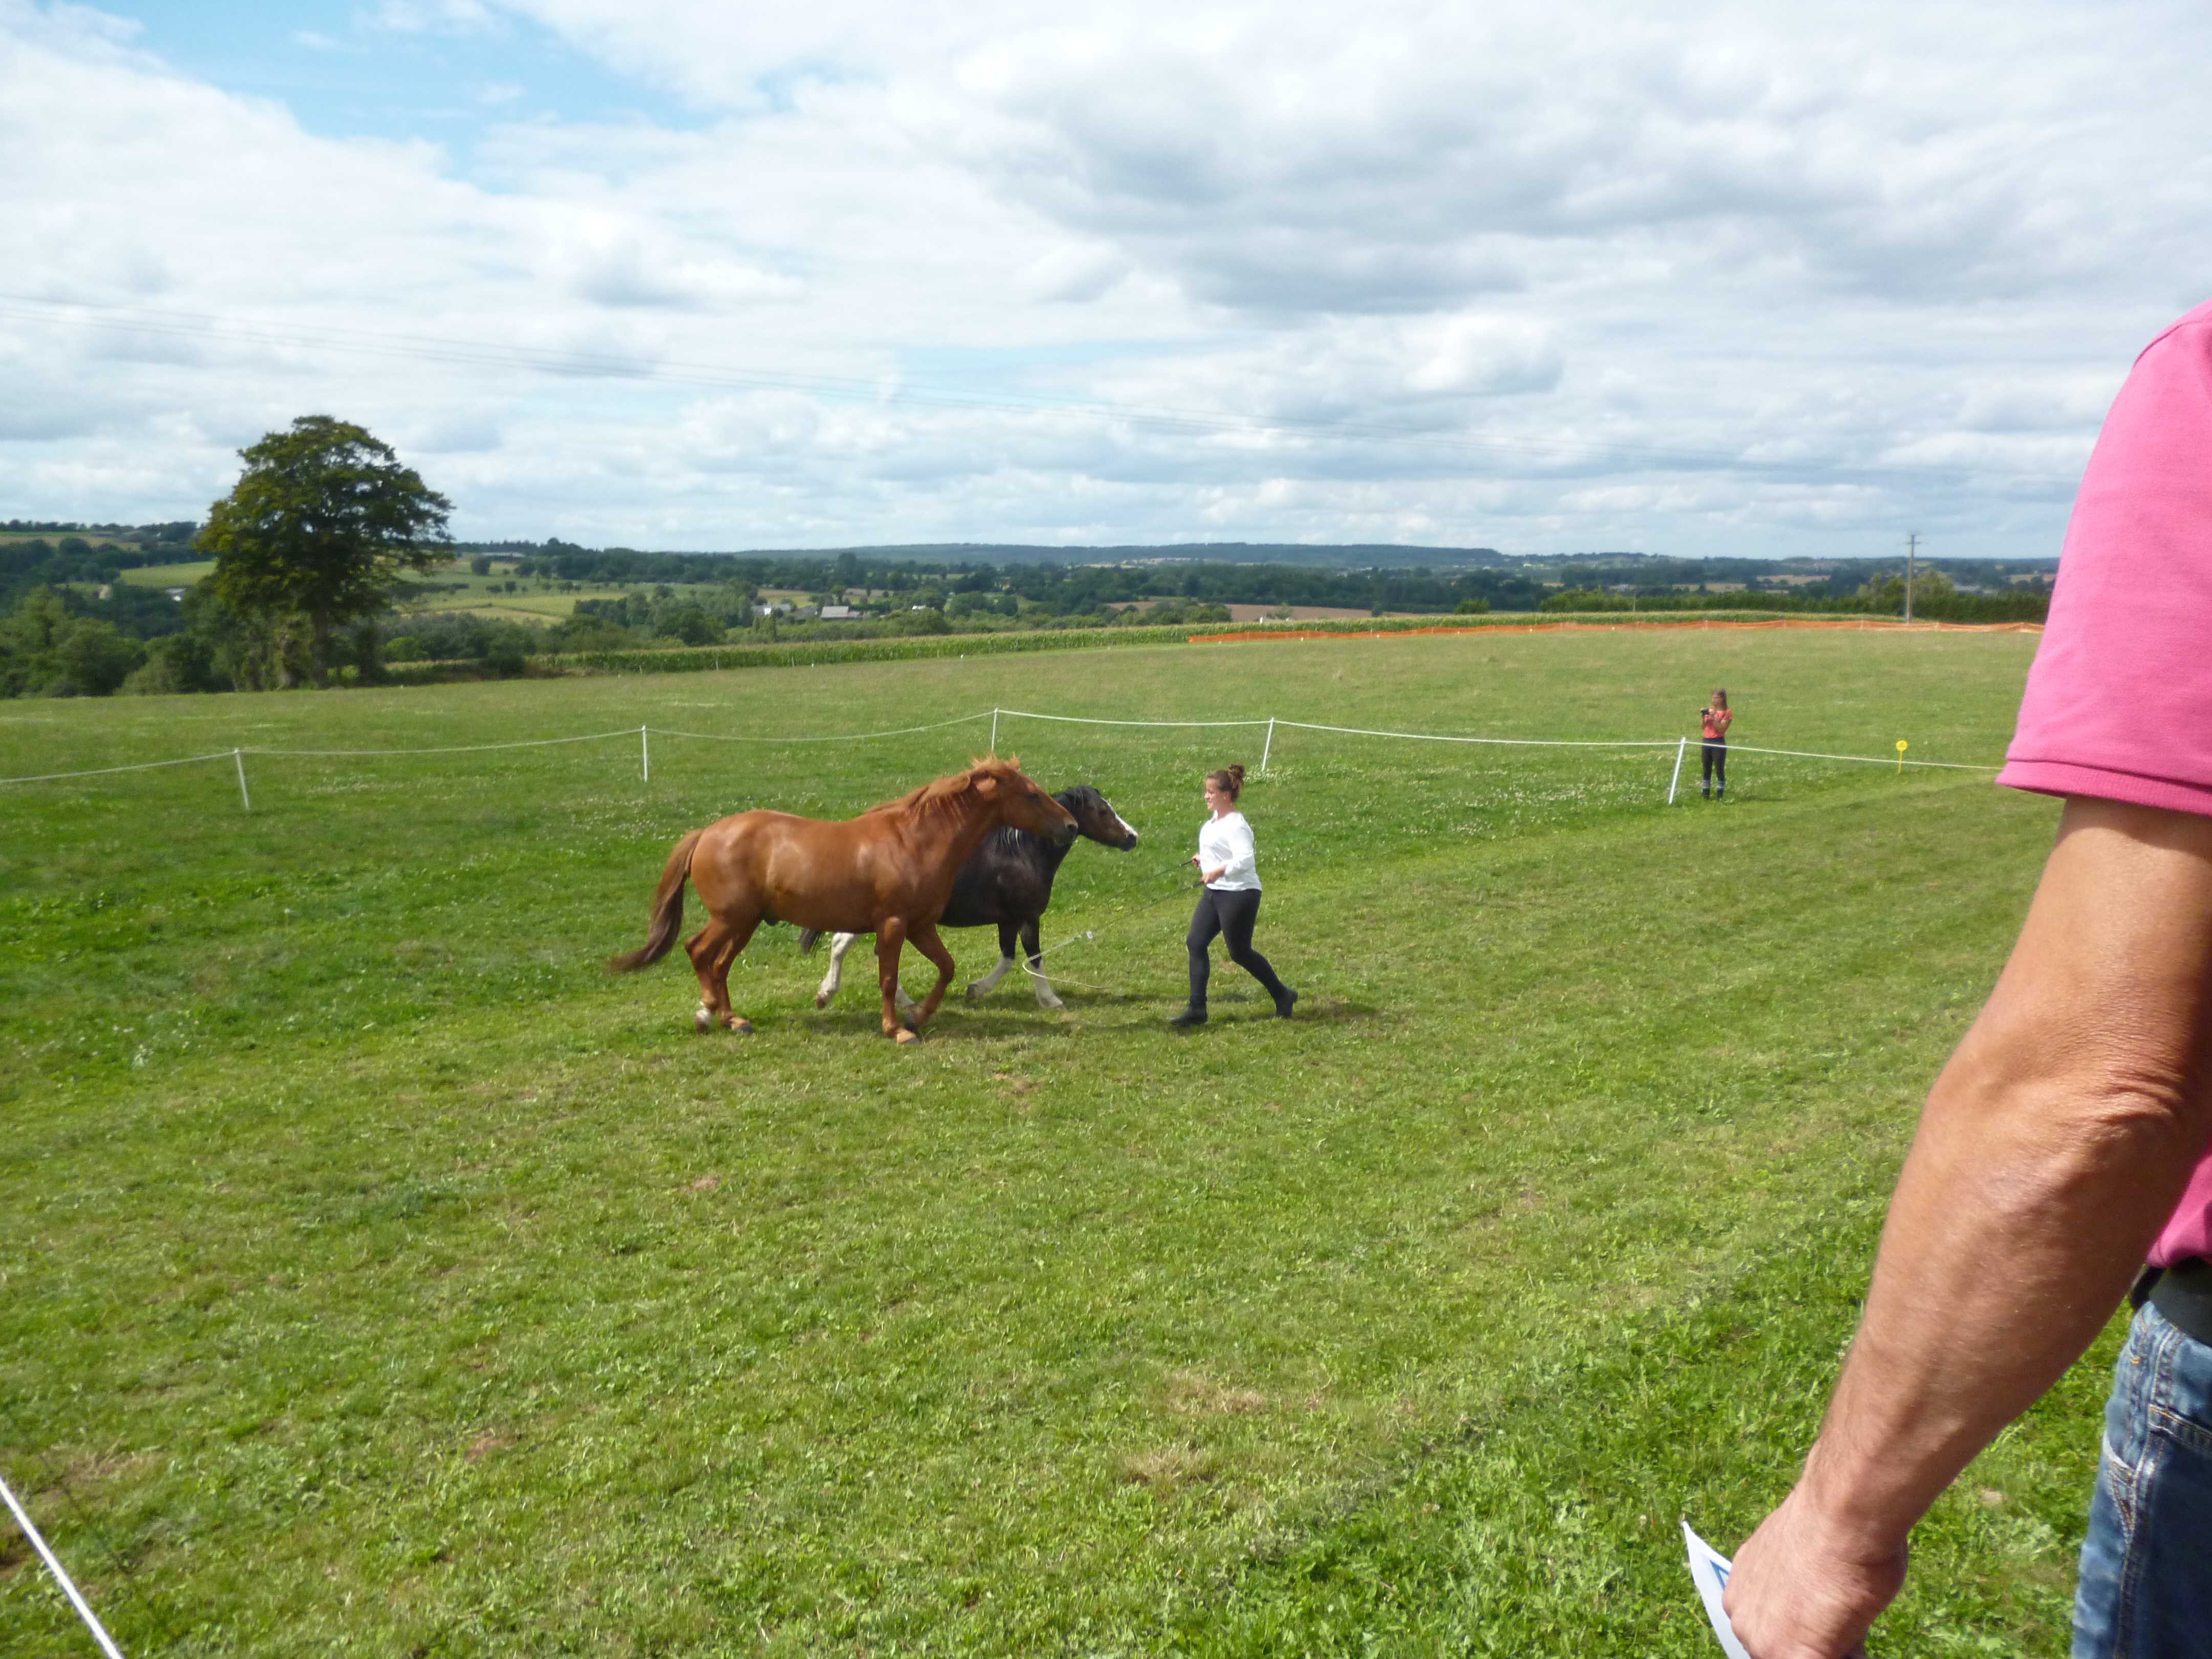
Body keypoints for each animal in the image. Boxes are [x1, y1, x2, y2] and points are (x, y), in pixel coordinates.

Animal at [606, 756, 1077, 1043]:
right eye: (1032, 794)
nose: (1071, 826)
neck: (914, 841)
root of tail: (706, 833)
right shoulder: (893, 924)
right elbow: (887, 977)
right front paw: (897, 1030)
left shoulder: (921, 925)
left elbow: (946, 968)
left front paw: (918, 1016)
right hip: (731, 918)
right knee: (698, 951)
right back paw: (708, 1013)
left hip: (745, 923)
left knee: (718, 964)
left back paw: (733, 1020)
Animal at [806, 785, 1140, 1015]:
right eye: (1102, 811)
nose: (1133, 837)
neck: (1023, 852)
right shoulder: (1028, 917)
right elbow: (1034, 958)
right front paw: (1050, 1000)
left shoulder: (1009, 920)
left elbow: (1008, 959)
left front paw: (976, 990)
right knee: (843, 944)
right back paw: (831, 994)